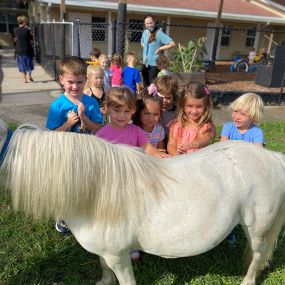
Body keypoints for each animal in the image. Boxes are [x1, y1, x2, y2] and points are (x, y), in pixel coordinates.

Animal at [0, 123, 284, 284]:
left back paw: (247, 280)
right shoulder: (107, 252)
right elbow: (103, 267)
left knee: (258, 254)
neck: (97, 191)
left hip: (257, 229)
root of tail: (272, 157)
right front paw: (104, 282)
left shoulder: (119, 256)